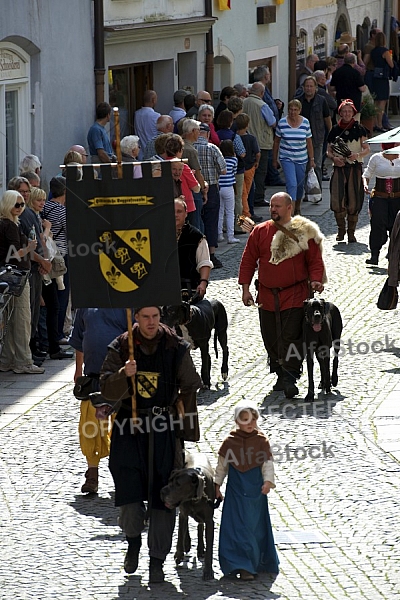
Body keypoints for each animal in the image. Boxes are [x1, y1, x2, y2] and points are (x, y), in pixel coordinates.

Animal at [159, 452, 217, 580]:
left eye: (178, 484)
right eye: (169, 480)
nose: (161, 492)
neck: (193, 498)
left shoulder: (210, 521)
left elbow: (210, 548)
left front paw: (208, 571)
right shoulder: (183, 513)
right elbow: (181, 533)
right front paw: (179, 554)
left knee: (200, 525)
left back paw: (200, 548)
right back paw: (187, 543)